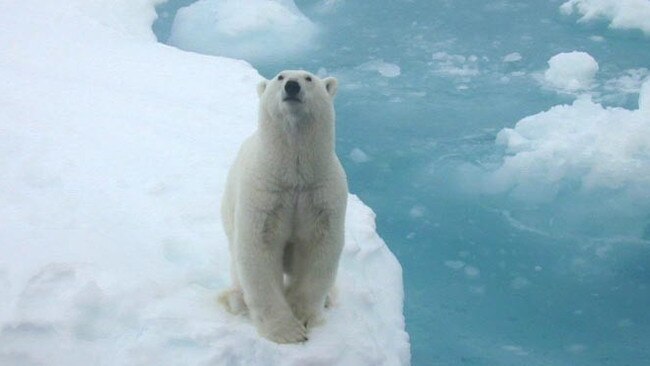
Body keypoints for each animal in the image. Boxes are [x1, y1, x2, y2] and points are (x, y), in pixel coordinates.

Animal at [218, 71, 346, 344]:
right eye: (280, 76)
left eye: (308, 78)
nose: (292, 86)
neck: (294, 176)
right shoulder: (265, 193)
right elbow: (259, 249)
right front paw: (287, 332)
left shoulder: (321, 194)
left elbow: (319, 248)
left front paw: (303, 317)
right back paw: (237, 300)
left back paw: (328, 298)